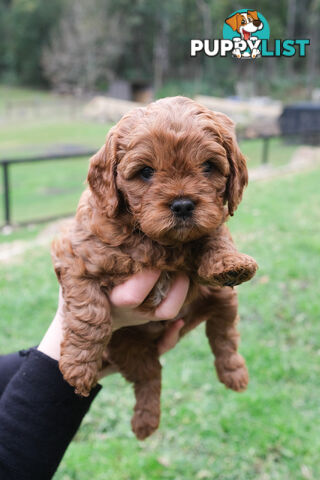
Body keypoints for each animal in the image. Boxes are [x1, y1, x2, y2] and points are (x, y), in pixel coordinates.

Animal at [52, 95, 258, 440]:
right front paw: (78, 369)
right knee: (150, 376)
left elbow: (215, 234)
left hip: (222, 300)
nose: (183, 205)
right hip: (128, 345)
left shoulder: (210, 231)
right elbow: (89, 313)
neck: (152, 239)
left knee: (224, 336)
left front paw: (230, 263)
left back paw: (235, 374)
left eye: (208, 166)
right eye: (145, 172)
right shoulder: (75, 256)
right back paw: (145, 423)